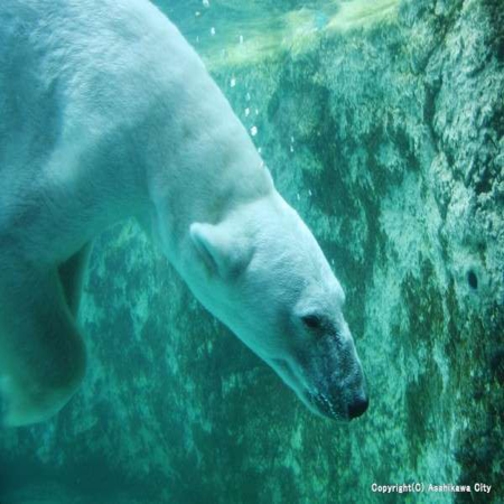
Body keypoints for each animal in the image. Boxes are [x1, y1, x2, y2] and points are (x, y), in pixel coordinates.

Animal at [0, 0, 366, 426]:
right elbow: (19, 238)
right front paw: (15, 403)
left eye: (342, 301)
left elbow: (65, 257)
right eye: (311, 319)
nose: (356, 400)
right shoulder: (91, 141)